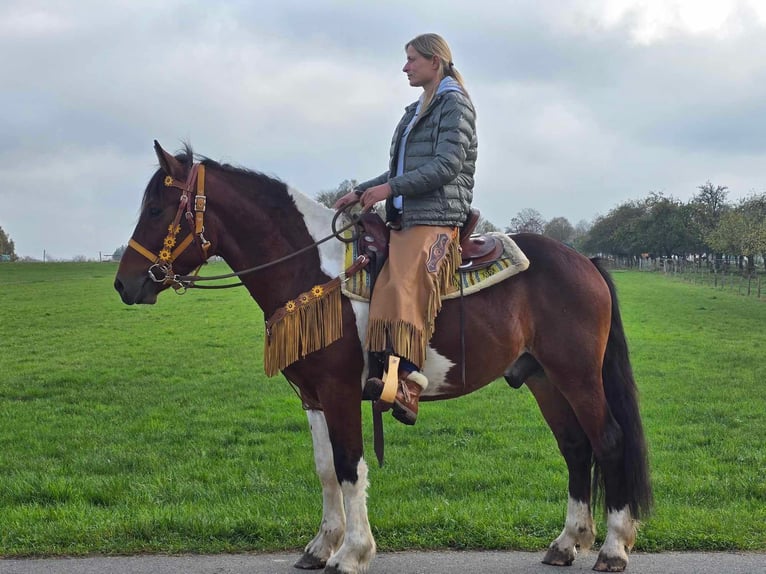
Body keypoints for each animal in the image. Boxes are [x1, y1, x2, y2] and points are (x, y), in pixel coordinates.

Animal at [115, 141, 656, 574]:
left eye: (158, 209)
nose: (125, 284)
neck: (314, 270)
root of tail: (585, 261)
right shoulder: (312, 396)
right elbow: (325, 468)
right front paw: (321, 545)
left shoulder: (339, 391)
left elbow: (350, 466)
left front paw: (352, 552)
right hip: (544, 378)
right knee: (575, 447)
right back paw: (566, 543)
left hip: (577, 374)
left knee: (607, 441)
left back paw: (612, 549)